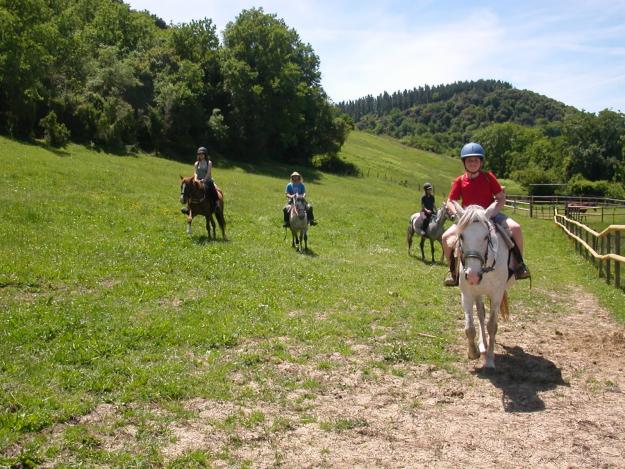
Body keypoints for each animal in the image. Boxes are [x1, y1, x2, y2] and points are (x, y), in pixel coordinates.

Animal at [450, 203, 516, 372]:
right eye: (461, 236)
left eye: (486, 237)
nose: (473, 275)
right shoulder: (467, 294)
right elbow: (469, 328)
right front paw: (473, 353)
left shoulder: (496, 295)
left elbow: (492, 326)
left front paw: (490, 361)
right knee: (480, 313)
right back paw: (482, 345)